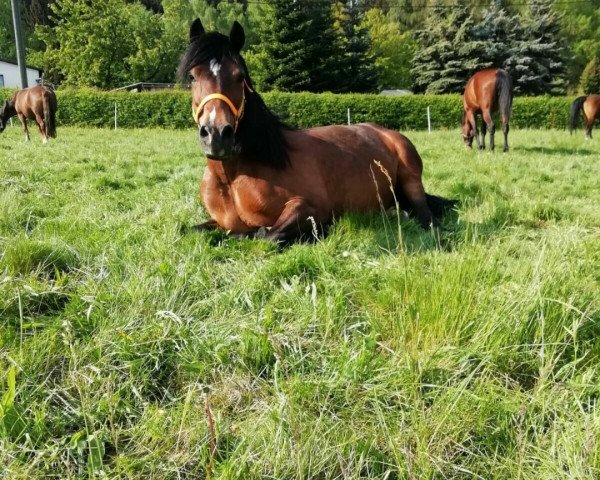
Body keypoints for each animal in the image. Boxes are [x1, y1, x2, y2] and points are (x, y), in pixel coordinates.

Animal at [180, 19, 458, 244]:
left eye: (239, 77)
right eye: (193, 77)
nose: (217, 135)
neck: (234, 178)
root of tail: (388, 133)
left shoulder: (311, 207)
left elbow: (267, 235)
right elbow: (189, 230)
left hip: (412, 181)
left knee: (425, 215)